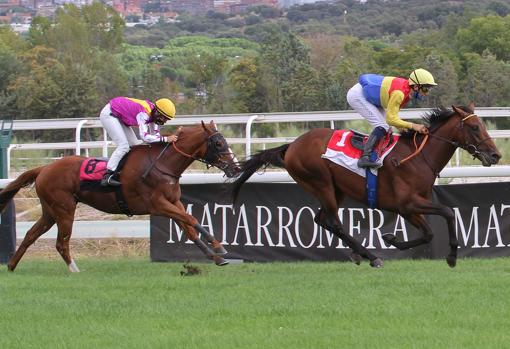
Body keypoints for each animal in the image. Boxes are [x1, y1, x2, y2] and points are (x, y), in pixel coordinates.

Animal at [0, 121, 240, 270]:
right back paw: (74, 269)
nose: (235, 168)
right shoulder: (158, 204)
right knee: (61, 242)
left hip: (50, 211)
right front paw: (219, 247)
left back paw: (11, 265)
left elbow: (190, 226)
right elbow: (190, 219)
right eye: (218, 143)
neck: (164, 165)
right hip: (64, 209)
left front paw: (216, 256)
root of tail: (44, 168)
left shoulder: (173, 202)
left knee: (31, 235)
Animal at [232, 103, 502, 266]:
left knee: (322, 219)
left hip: (335, 189)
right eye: (475, 127)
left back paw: (360, 254)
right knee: (334, 222)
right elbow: (447, 212)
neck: (418, 157)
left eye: (483, 125)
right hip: (321, 183)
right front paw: (452, 255)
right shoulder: (408, 203)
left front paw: (392, 239)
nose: (496, 155)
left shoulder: (410, 208)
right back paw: (371, 256)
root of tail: (291, 146)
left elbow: (428, 233)